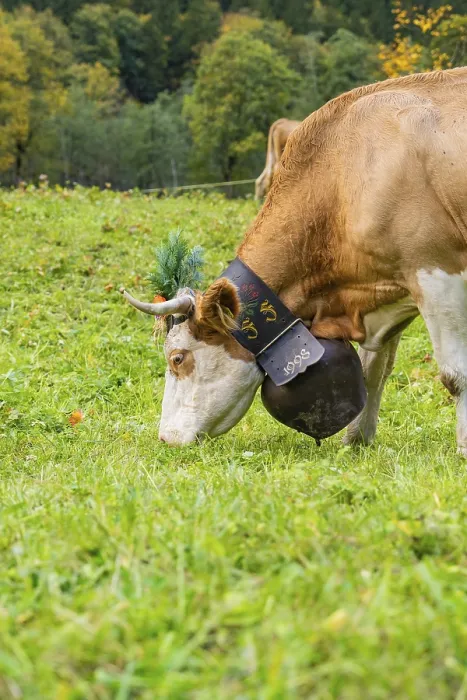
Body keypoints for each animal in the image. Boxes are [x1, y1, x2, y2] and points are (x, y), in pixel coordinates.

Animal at [122, 67, 467, 455]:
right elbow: (373, 369)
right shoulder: (392, 285)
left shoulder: (434, 272)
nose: (166, 437)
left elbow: (454, 374)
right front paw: (356, 440)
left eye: (177, 358)